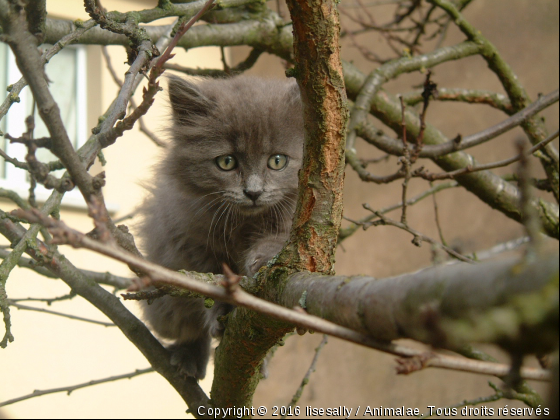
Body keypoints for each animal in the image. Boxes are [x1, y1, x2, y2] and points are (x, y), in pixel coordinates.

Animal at [140, 75, 304, 380]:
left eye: (277, 161)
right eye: (226, 162)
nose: (253, 192)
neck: (244, 223)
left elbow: (279, 244)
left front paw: (262, 260)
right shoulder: (191, 241)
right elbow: (211, 281)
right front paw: (222, 310)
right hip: (165, 308)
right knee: (188, 326)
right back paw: (187, 358)